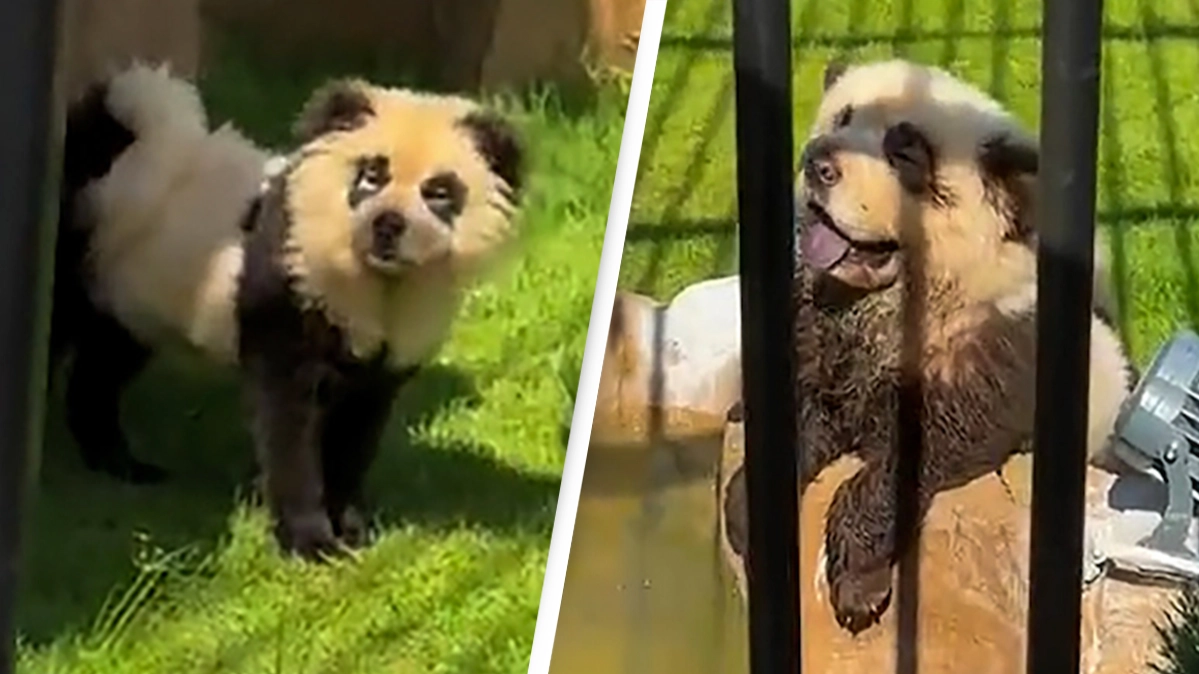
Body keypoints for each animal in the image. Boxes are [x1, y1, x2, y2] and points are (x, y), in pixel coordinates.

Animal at [55, 63, 526, 560]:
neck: (374, 281)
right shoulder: (287, 297)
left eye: (438, 192)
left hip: (132, 295)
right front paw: (310, 542)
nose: (388, 226)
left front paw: (353, 530)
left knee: (102, 369)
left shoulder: (382, 359)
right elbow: (288, 426)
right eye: (371, 175)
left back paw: (121, 463)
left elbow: (356, 433)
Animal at [720, 58, 1136, 634]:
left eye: (905, 153)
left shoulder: (998, 348)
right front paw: (749, 512)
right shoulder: (821, 337)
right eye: (842, 117)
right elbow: (795, 405)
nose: (818, 164)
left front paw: (859, 585)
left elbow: (922, 448)